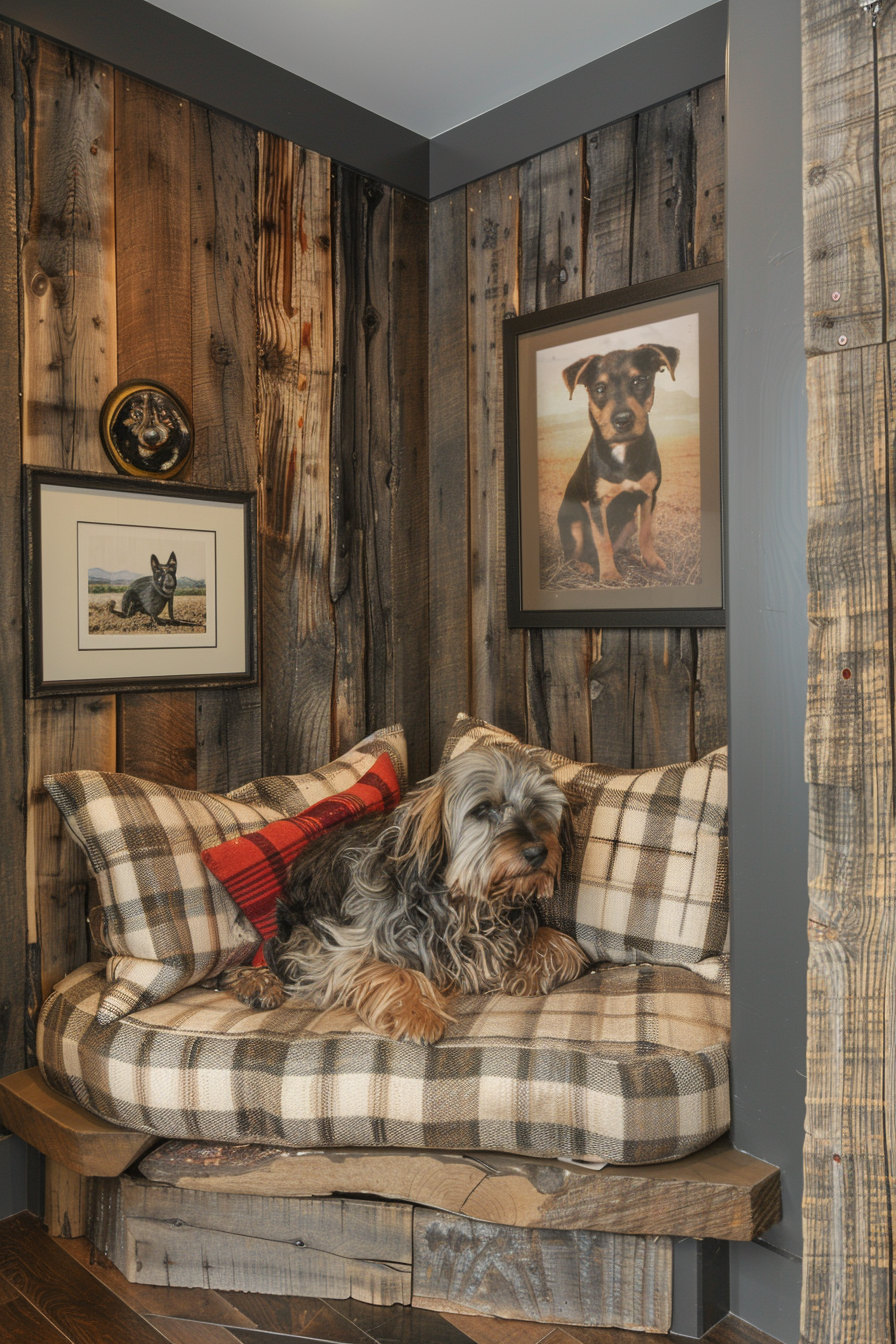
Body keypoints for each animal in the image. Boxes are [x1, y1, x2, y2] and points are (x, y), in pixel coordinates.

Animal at [221, 747, 591, 1037]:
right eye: (484, 809)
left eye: (538, 805)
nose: (538, 852)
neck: (462, 903)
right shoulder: (334, 948)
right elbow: (386, 969)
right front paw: (418, 1013)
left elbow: (564, 945)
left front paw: (526, 973)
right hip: (293, 926)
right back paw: (257, 982)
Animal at [553, 341, 679, 583]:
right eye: (599, 389)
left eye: (639, 380)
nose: (623, 420)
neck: (623, 449)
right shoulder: (597, 503)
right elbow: (603, 541)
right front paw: (610, 575)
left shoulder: (649, 495)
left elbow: (646, 533)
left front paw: (652, 561)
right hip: (574, 525)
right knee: (571, 555)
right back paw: (585, 566)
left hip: (629, 521)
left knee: (620, 545)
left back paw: (632, 558)